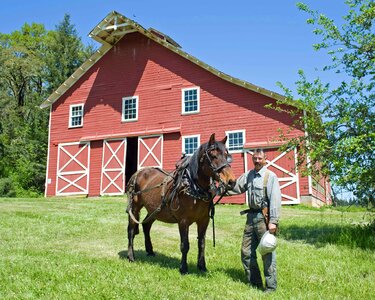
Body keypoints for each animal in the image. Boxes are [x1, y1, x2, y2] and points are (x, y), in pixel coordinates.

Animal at [126, 134, 235, 274]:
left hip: (155, 210)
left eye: (226, 154)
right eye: (213, 155)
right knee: (131, 230)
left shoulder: (204, 220)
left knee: (146, 226)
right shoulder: (183, 221)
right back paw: (131, 256)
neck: (193, 186)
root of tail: (138, 173)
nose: (231, 181)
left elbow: (202, 243)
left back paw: (150, 251)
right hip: (134, 207)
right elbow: (185, 245)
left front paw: (202, 266)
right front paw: (183, 268)